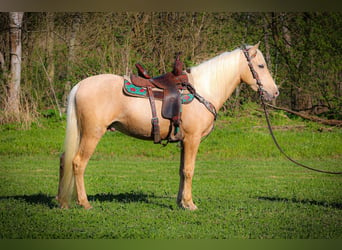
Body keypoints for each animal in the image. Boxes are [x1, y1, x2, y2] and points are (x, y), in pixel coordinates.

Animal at [57, 42, 280, 210]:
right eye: (261, 66)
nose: (275, 92)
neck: (203, 90)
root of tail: (80, 85)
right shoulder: (192, 139)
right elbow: (189, 170)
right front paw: (190, 204)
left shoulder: (183, 141)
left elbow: (182, 170)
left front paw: (181, 202)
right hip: (92, 133)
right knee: (78, 163)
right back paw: (84, 203)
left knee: (64, 161)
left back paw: (62, 201)